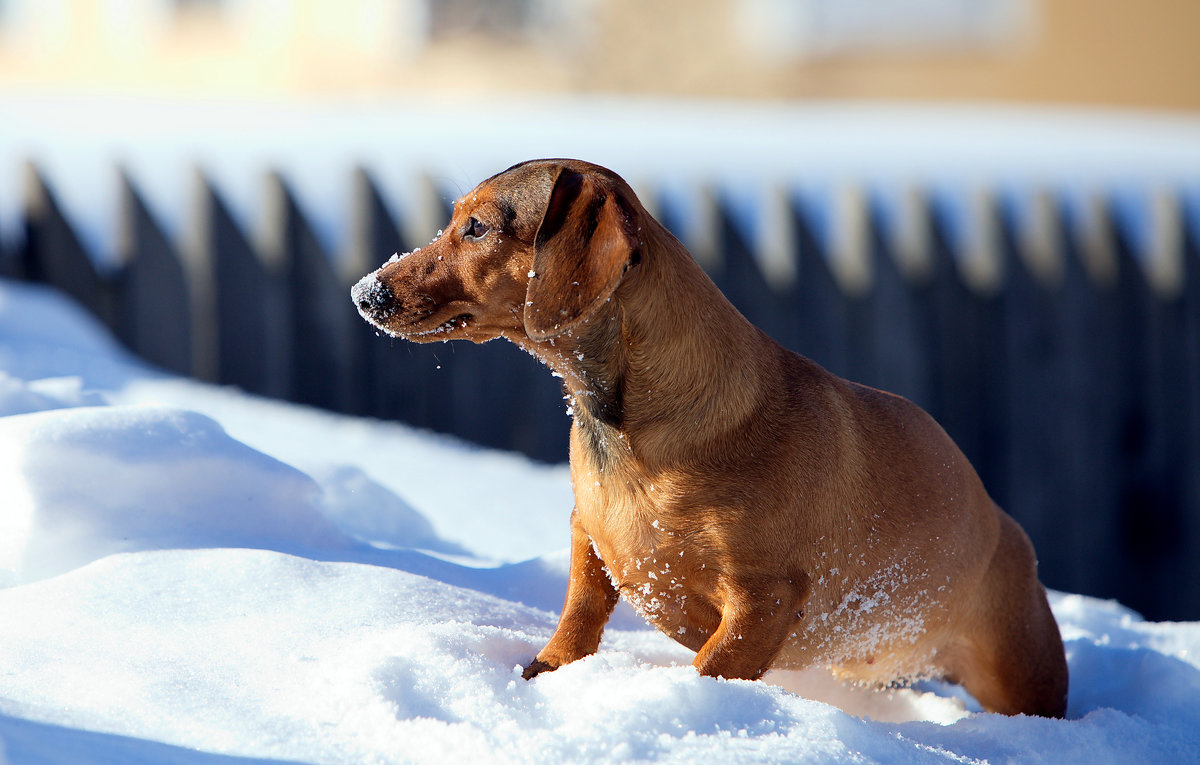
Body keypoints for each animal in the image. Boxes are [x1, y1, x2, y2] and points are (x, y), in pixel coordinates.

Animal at [350, 157, 1070, 719]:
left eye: (476, 227)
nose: (364, 292)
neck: (635, 433)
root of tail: (1002, 524)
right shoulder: (590, 537)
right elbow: (578, 618)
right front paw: (545, 675)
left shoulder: (762, 602)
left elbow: (710, 665)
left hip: (1022, 674)